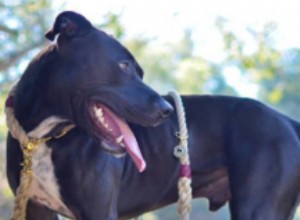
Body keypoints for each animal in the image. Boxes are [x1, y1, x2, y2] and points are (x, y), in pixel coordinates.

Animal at [5, 10, 300, 220]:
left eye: (141, 72)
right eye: (124, 66)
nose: (167, 110)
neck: (44, 136)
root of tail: (287, 121)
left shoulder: (99, 211)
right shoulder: (35, 208)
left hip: (259, 209)